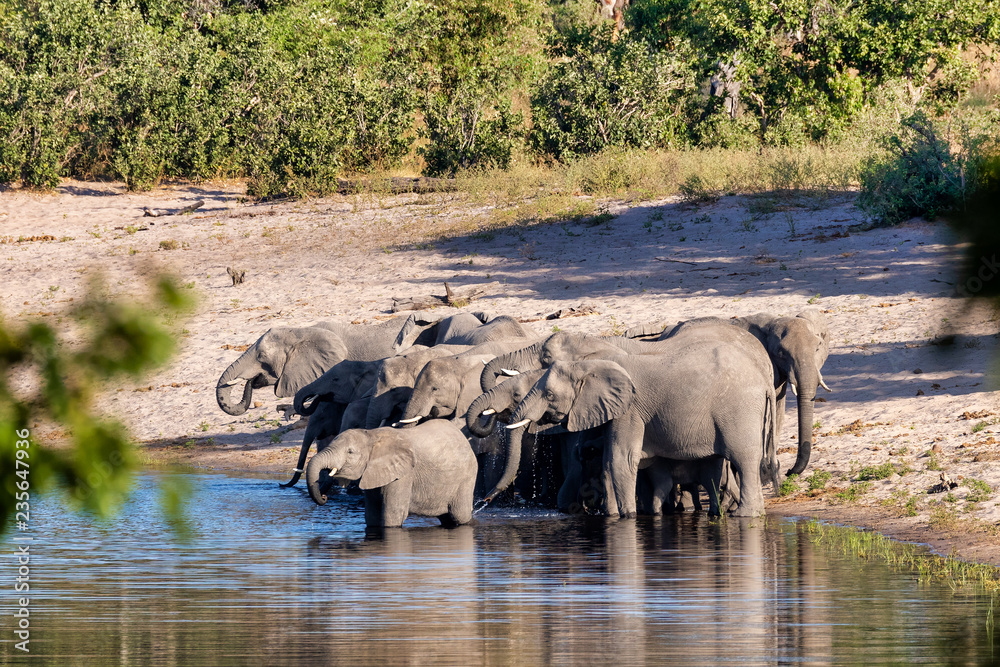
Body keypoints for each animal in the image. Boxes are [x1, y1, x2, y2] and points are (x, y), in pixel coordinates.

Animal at [306, 421, 478, 529]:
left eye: (350, 452)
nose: (324, 497)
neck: (371, 434)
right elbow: (372, 516)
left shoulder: (404, 474)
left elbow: (392, 516)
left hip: (467, 476)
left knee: (460, 516)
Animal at [484, 331, 778, 518]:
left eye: (550, 395)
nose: (484, 502)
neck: (597, 352)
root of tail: (765, 380)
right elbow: (607, 461)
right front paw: (612, 515)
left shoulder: (630, 408)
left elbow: (620, 458)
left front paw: (628, 516)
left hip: (739, 409)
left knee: (743, 458)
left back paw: (745, 515)